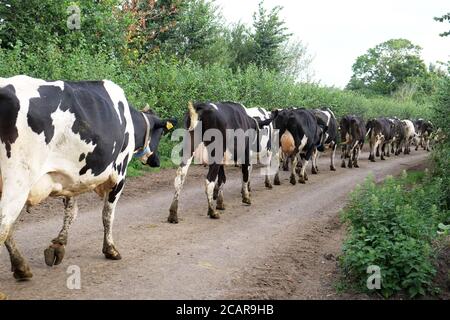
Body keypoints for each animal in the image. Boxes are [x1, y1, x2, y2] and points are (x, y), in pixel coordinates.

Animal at [0, 75, 176, 280]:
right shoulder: (119, 175)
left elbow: (71, 212)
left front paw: (58, 245)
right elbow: (108, 214)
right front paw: (110, 249)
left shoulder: (71, 177)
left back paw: (21, 267)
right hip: (18, 182)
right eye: (161, 133)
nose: (156, 161)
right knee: (4, 223)